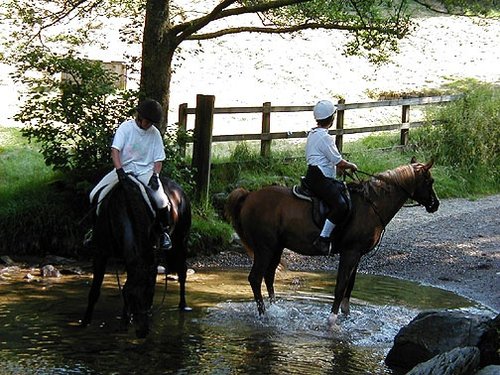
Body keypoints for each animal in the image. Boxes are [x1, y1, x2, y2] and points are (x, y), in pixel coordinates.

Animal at [82, 176, 191, 338]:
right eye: (131, 298)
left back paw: (183, 305)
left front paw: (125, 322)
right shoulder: (101, 253)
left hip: (180, 242)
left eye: (147, 296)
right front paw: (85, 322)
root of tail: (179, 189)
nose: (143, 332)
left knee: (182, 272)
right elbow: (96, 291)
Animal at [225, 157, 440, 328]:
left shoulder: (357, 255)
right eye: (430, 181)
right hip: (265, 248)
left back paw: (275, 309)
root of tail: (249, 196)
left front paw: (347, 316)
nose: (435, 204)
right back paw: (264, 314)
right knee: (255, 278)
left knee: (268, 277)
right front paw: (332, 320)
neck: (371, 205)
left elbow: (349, 287)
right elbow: (340, 286)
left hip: (277, 247)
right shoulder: (350, 252)